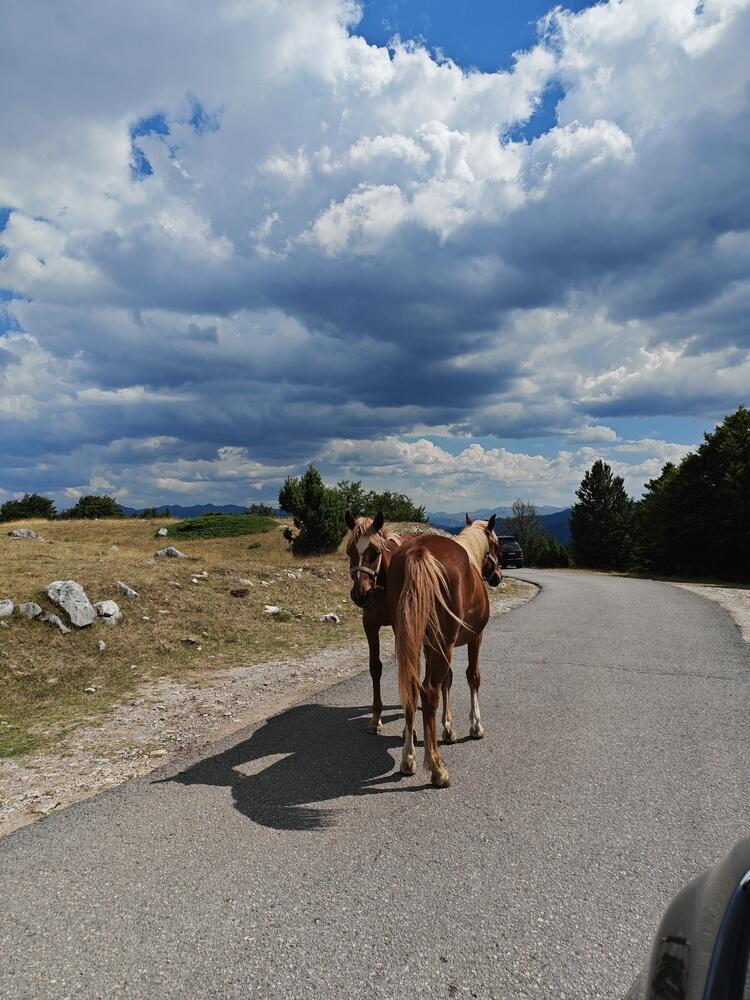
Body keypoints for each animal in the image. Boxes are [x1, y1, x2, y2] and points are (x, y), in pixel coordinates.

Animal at [386, 513, 502, 788]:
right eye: (496, 544)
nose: (497, 576)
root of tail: (420, 552)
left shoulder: (430, 646)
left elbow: (447, 680)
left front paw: (448, 728)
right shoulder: (475, 638)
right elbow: (472, 677)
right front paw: (475, 726)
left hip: (412, 640)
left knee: (413, 689)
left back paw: (408, 759)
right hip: (444, 643)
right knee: (429, 692)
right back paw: (436, 768)